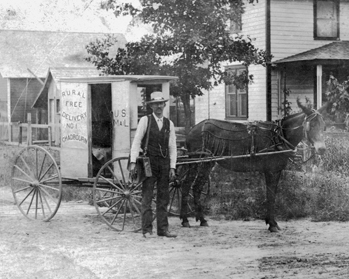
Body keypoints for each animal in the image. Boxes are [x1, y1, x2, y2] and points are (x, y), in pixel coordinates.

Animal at [179, 99, 326, 233]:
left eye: (324, 126)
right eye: (311, 125)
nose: (322, 149)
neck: (279, 136)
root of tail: (193, 128)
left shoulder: (276, 170)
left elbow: (272, 195)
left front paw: (271, 222)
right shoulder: (271, 170)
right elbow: (271, 196)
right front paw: (272, 224)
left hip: (207, 163)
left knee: (196, 187)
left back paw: (201, 220)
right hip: (196, 162)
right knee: (186, 186)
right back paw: (185, 220)